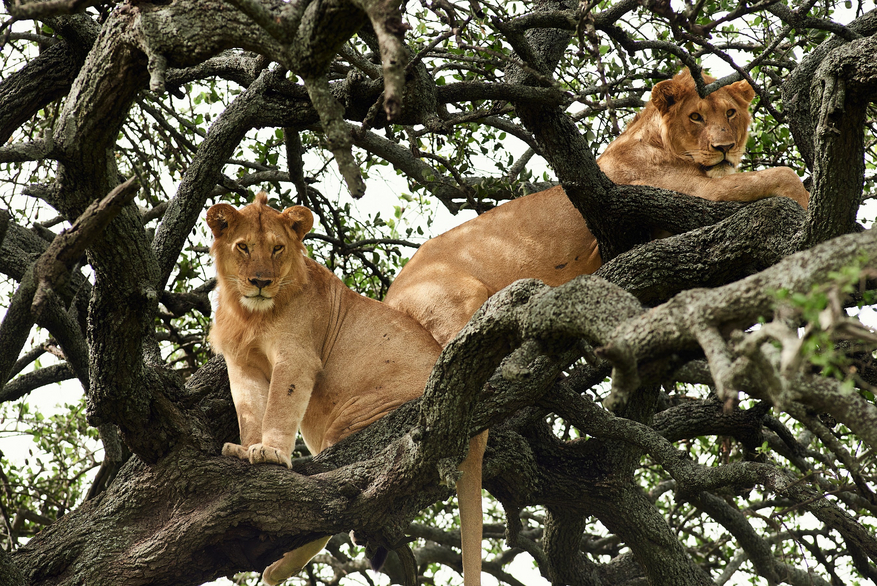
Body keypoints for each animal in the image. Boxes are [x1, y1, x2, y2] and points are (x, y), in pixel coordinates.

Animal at [209, 193, 486, 584]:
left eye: (277, 248)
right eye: (243, 247)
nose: (260, 281)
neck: (251, 314)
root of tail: (477, 439)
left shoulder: (297, 355)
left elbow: (279, 405)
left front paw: (270, 453)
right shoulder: (242, 362)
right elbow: (250, 409)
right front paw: (245, 449)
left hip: (360, 421)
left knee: (337, 502)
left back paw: (279, 568)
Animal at [384, 67, 808, 346]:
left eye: (731, 113)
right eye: (696, 116)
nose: (725, 148)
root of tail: (389, 295)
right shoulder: (685, 191)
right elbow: (784, 174)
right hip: (456, 300)